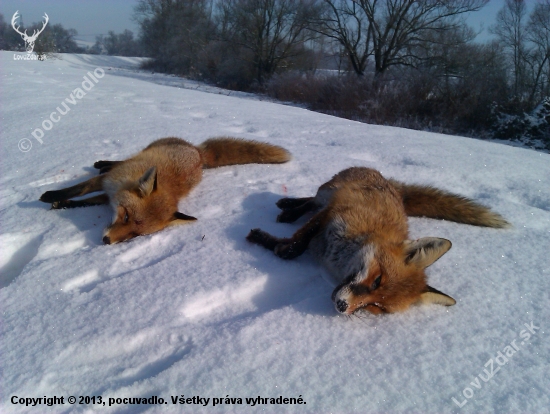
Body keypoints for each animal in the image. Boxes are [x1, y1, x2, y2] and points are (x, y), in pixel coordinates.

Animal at [41, 137, 294, 244]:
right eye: (126, 216)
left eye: (136, 234)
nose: (106, 241)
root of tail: (198, 153)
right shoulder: (108, 183)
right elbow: (79, 189)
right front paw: (52, 196)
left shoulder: (109, 194)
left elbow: (86, 200)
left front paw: (62, 205)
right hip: (147, 148)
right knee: (121, 160)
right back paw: (103, 162)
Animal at [248, 167, 512, 316]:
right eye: (377, 280)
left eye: (377, 307)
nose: (342, 307)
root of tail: (388, 182)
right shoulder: (336, 212)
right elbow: (294, 247)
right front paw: (265, 240)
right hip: (329, 191)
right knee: (311, 200)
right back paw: (288, 208)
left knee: (311, 202)